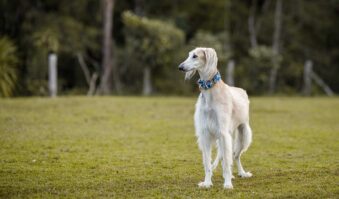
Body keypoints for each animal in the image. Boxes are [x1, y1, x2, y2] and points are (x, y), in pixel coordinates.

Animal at [179, 47, 254, 189]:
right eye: (189, 55)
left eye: (195, 56)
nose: (180, 67)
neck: (210, 91)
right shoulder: (205, 134)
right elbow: (208, 163)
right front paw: (207, 182)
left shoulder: (223, 132)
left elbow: (227, 161)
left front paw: (227, 184)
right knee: (227, 156)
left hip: (243, 133)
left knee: (235, 156)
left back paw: (242, 173)